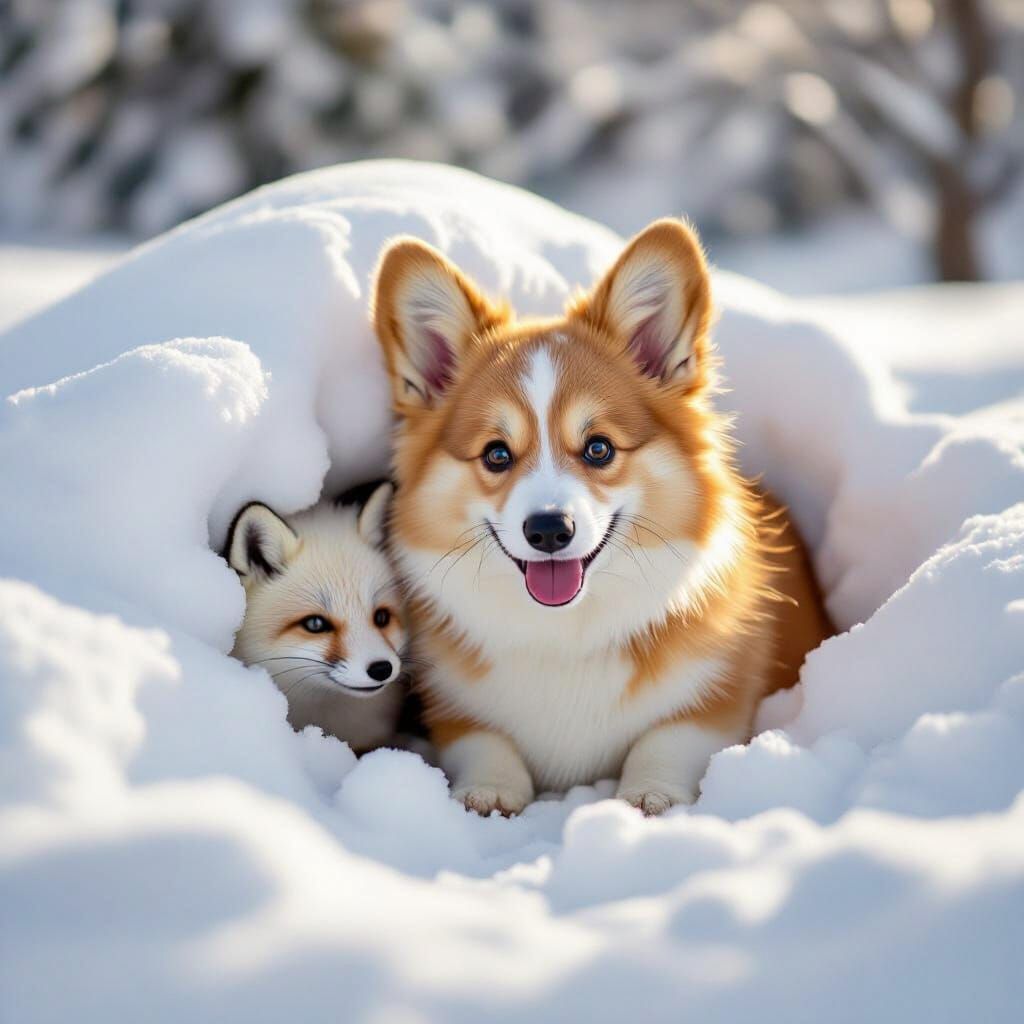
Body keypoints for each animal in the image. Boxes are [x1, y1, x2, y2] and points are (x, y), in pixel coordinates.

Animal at [371, 217, 831, 815]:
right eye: (496, 454)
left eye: (598, 449)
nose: (548, 530)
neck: (568, 629)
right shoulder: (453, 706)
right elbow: (483, 738)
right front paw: (490, 791)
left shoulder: (720, 693)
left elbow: (669, 736)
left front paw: (650, 795)